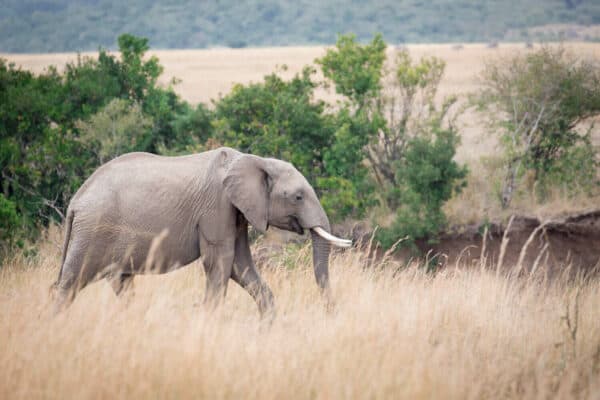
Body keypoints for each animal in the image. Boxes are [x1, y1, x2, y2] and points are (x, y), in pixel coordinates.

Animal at [52, 147, 352, 316]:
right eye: (298, 197)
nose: (331, 313)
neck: (251, 160)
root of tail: (75, 202)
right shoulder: (216, 206)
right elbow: (220, 262)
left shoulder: (236, 212)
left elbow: (240, 264)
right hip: (93, 230)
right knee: (70, 283)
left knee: (121, 282)